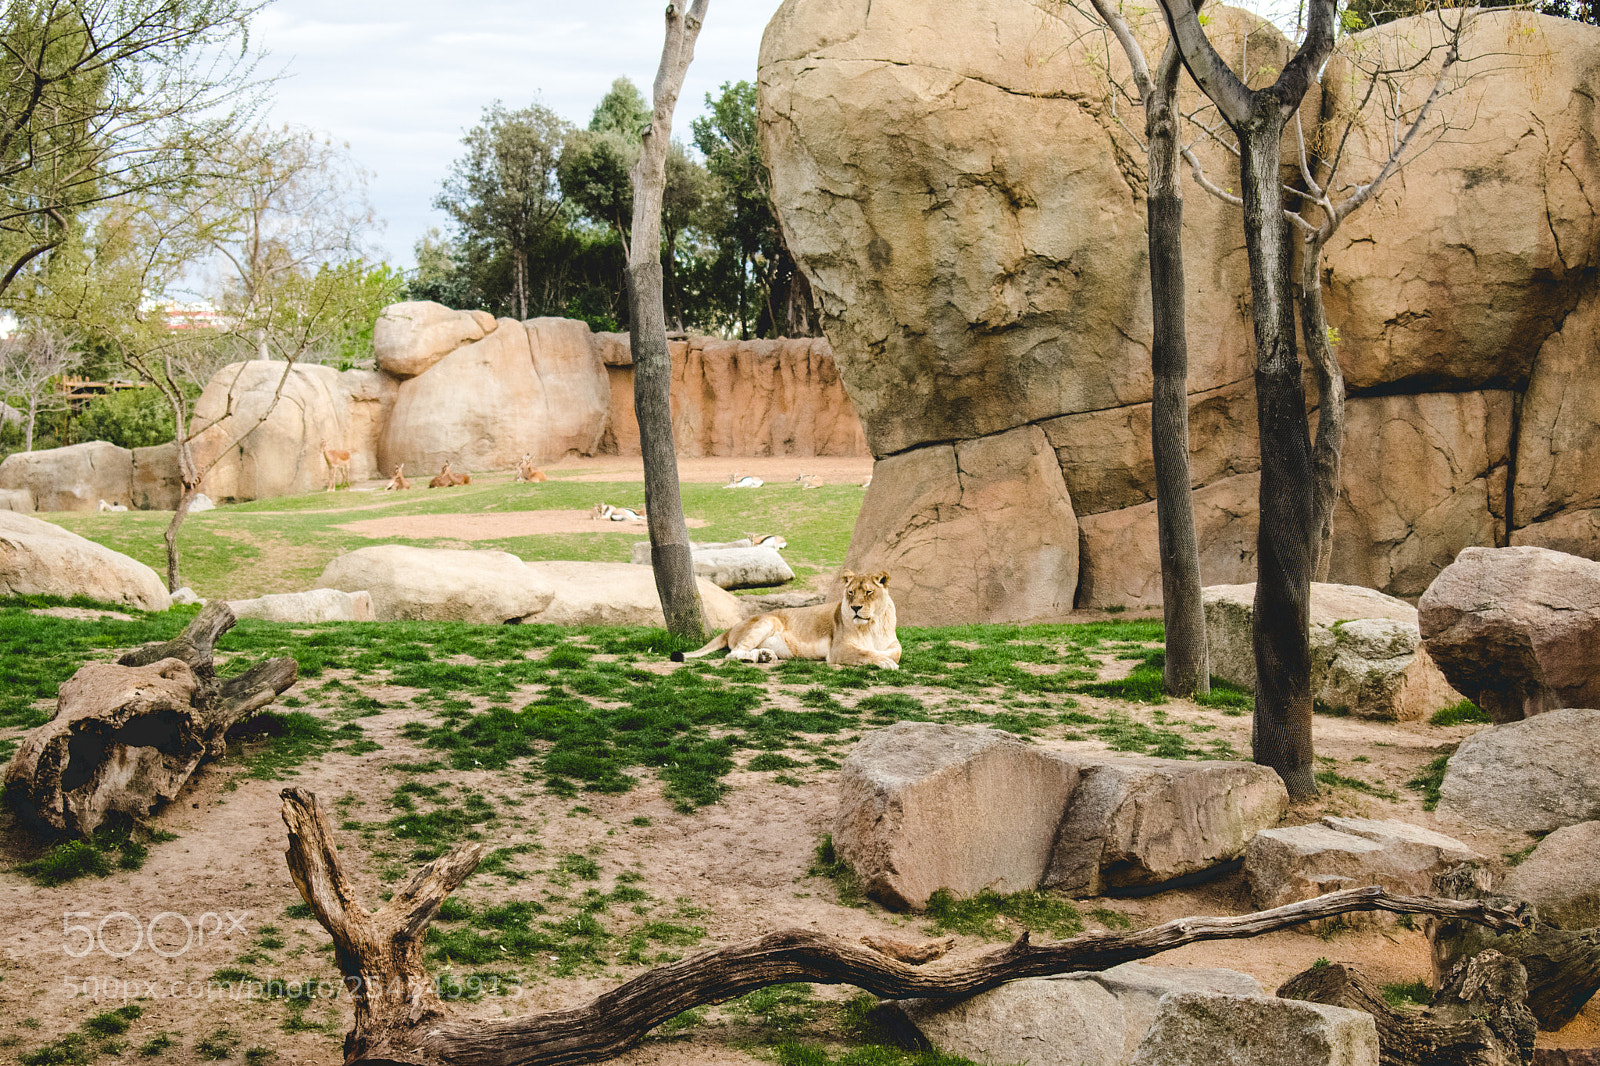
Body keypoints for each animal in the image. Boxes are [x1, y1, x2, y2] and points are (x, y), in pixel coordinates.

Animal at [671, 569, 901, 669]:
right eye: (851, 592)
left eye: (869, 592)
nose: (855, 608)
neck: (872, 625)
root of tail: (732, 627)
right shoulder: (838, 649)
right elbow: (865, 653)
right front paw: (884, 662)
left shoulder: (894, 644)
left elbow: (894, 652)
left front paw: (886, 657)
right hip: (769, 620)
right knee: (732, 654)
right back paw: (753, 659)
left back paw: (765, 656)